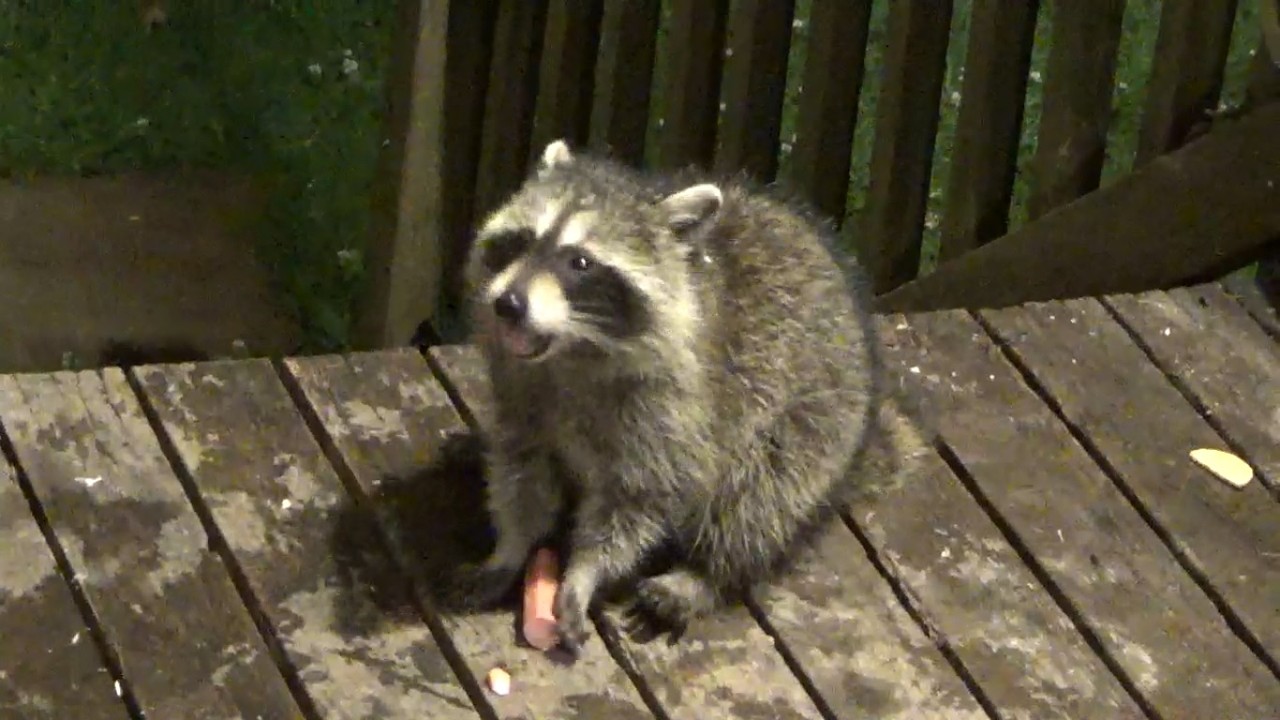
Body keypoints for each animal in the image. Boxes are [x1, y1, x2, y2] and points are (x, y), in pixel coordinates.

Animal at [453, 139, 915, 652]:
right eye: (520, 240)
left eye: (581, 263)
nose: (508, 304)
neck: (570, 350)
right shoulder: (522, 394)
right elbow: (521, 472)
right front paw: (513, 546)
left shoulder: (674, 414)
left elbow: (638, 500)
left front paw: (586, 571)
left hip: (815, 422)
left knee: (762, 497)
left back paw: (706, 576)